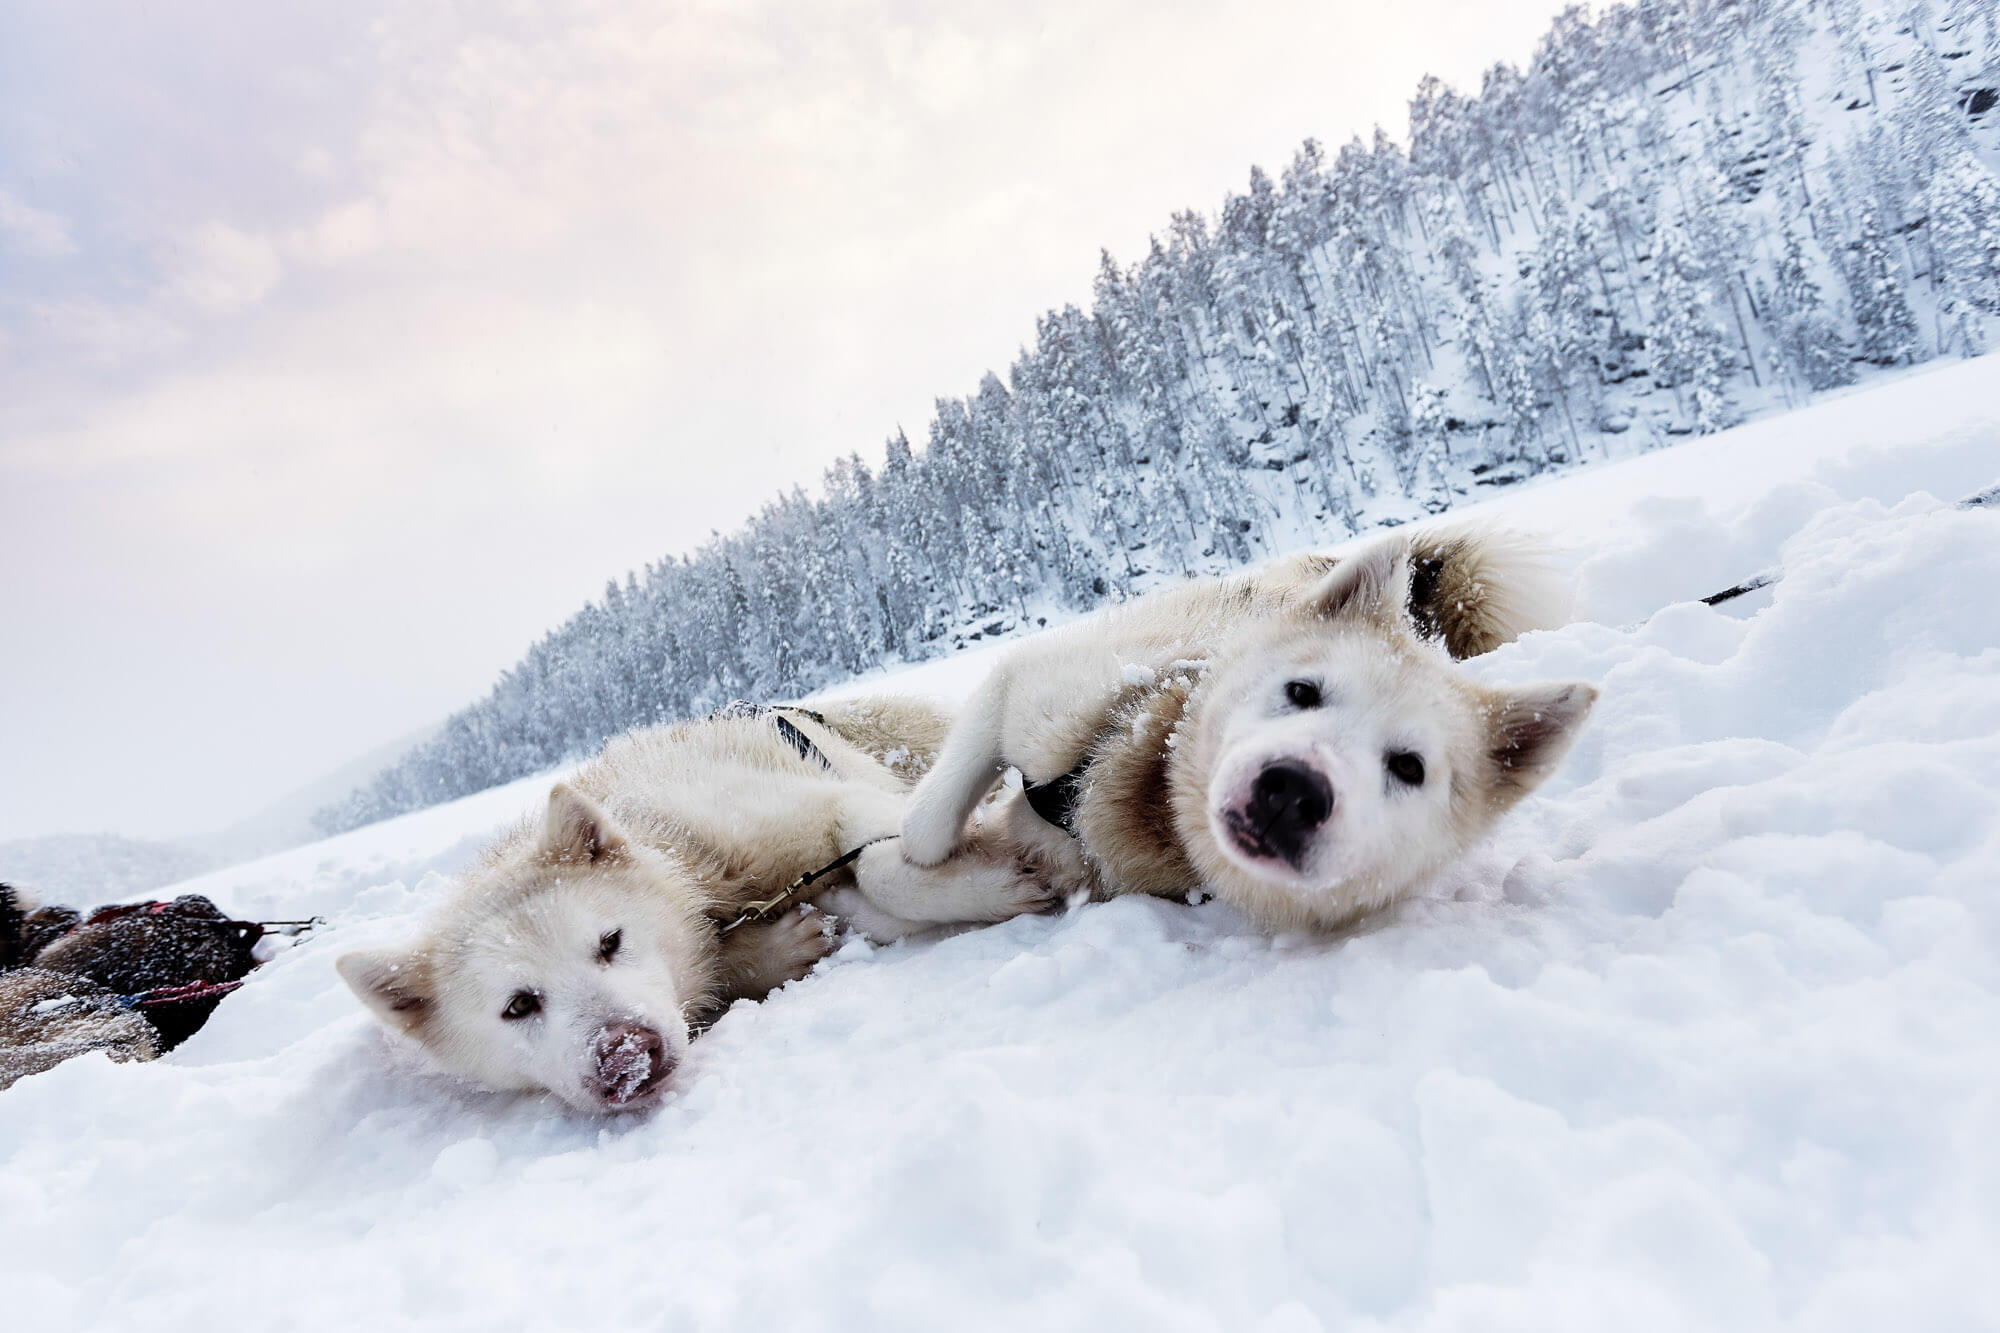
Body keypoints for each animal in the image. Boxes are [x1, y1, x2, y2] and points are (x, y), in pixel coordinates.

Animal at [332, 696, 1048, 1112]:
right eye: (517, 1005)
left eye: (610, 941)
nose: (625, 1056)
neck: (696, 868)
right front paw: (780, 948)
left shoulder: (826, 805)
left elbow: (881, 866)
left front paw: (998, 882)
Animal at [904, 524, 1592, 928]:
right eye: (1301, 690)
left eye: (1409, 767)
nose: (1293, 791)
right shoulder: (1024, 691)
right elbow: (927, 828)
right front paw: (930, 852)